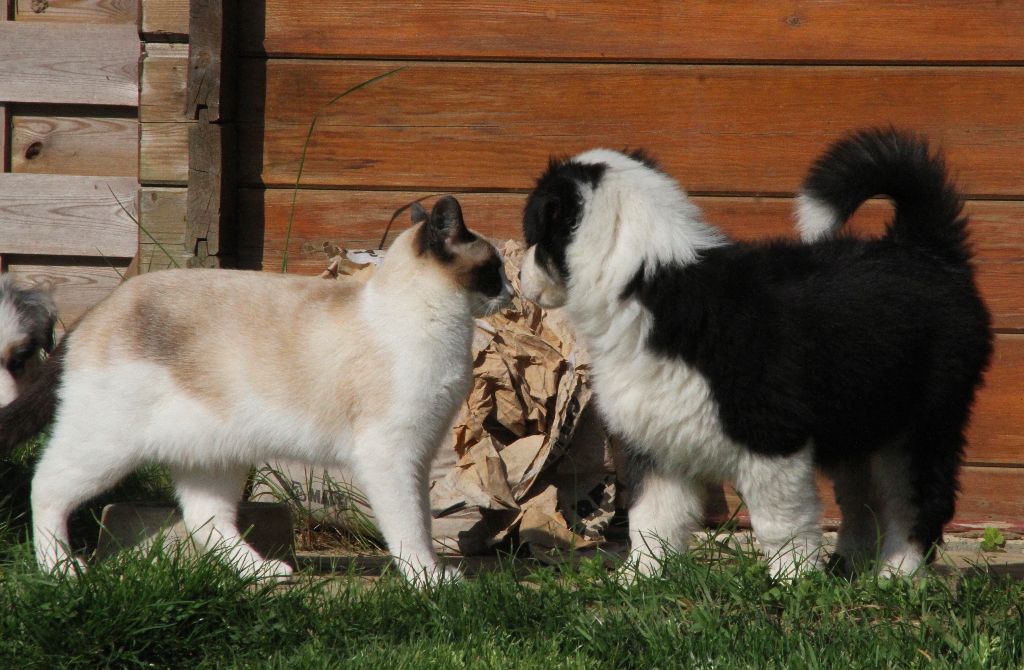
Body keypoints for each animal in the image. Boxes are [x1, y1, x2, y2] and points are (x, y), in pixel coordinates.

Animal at [0, 196, 512, 585]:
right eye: (494, 269)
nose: (511, 291)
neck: (441, 326)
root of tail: (99, 308)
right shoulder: (392, 455)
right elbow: (410, 528)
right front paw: (430, 580)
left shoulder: (419, 456)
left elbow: (422, 520)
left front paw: (434, 573)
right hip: (107, 446)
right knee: (45, 486)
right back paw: (61, 570)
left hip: (213, 453)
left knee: (205, 519)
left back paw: (265, 573)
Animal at [520, 128, 991, 581]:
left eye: (534, 237)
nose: (519, 276)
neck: (650, 282)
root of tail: (925, 249)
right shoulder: (656, 441)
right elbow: (651, 517)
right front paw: (641, 578)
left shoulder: (772, 439)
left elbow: (780, 522)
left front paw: (792, 582)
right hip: (859, 418)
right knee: (863, 501)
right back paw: (848, 566)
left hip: (921, 424)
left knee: (916, 501)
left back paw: (897, 573)